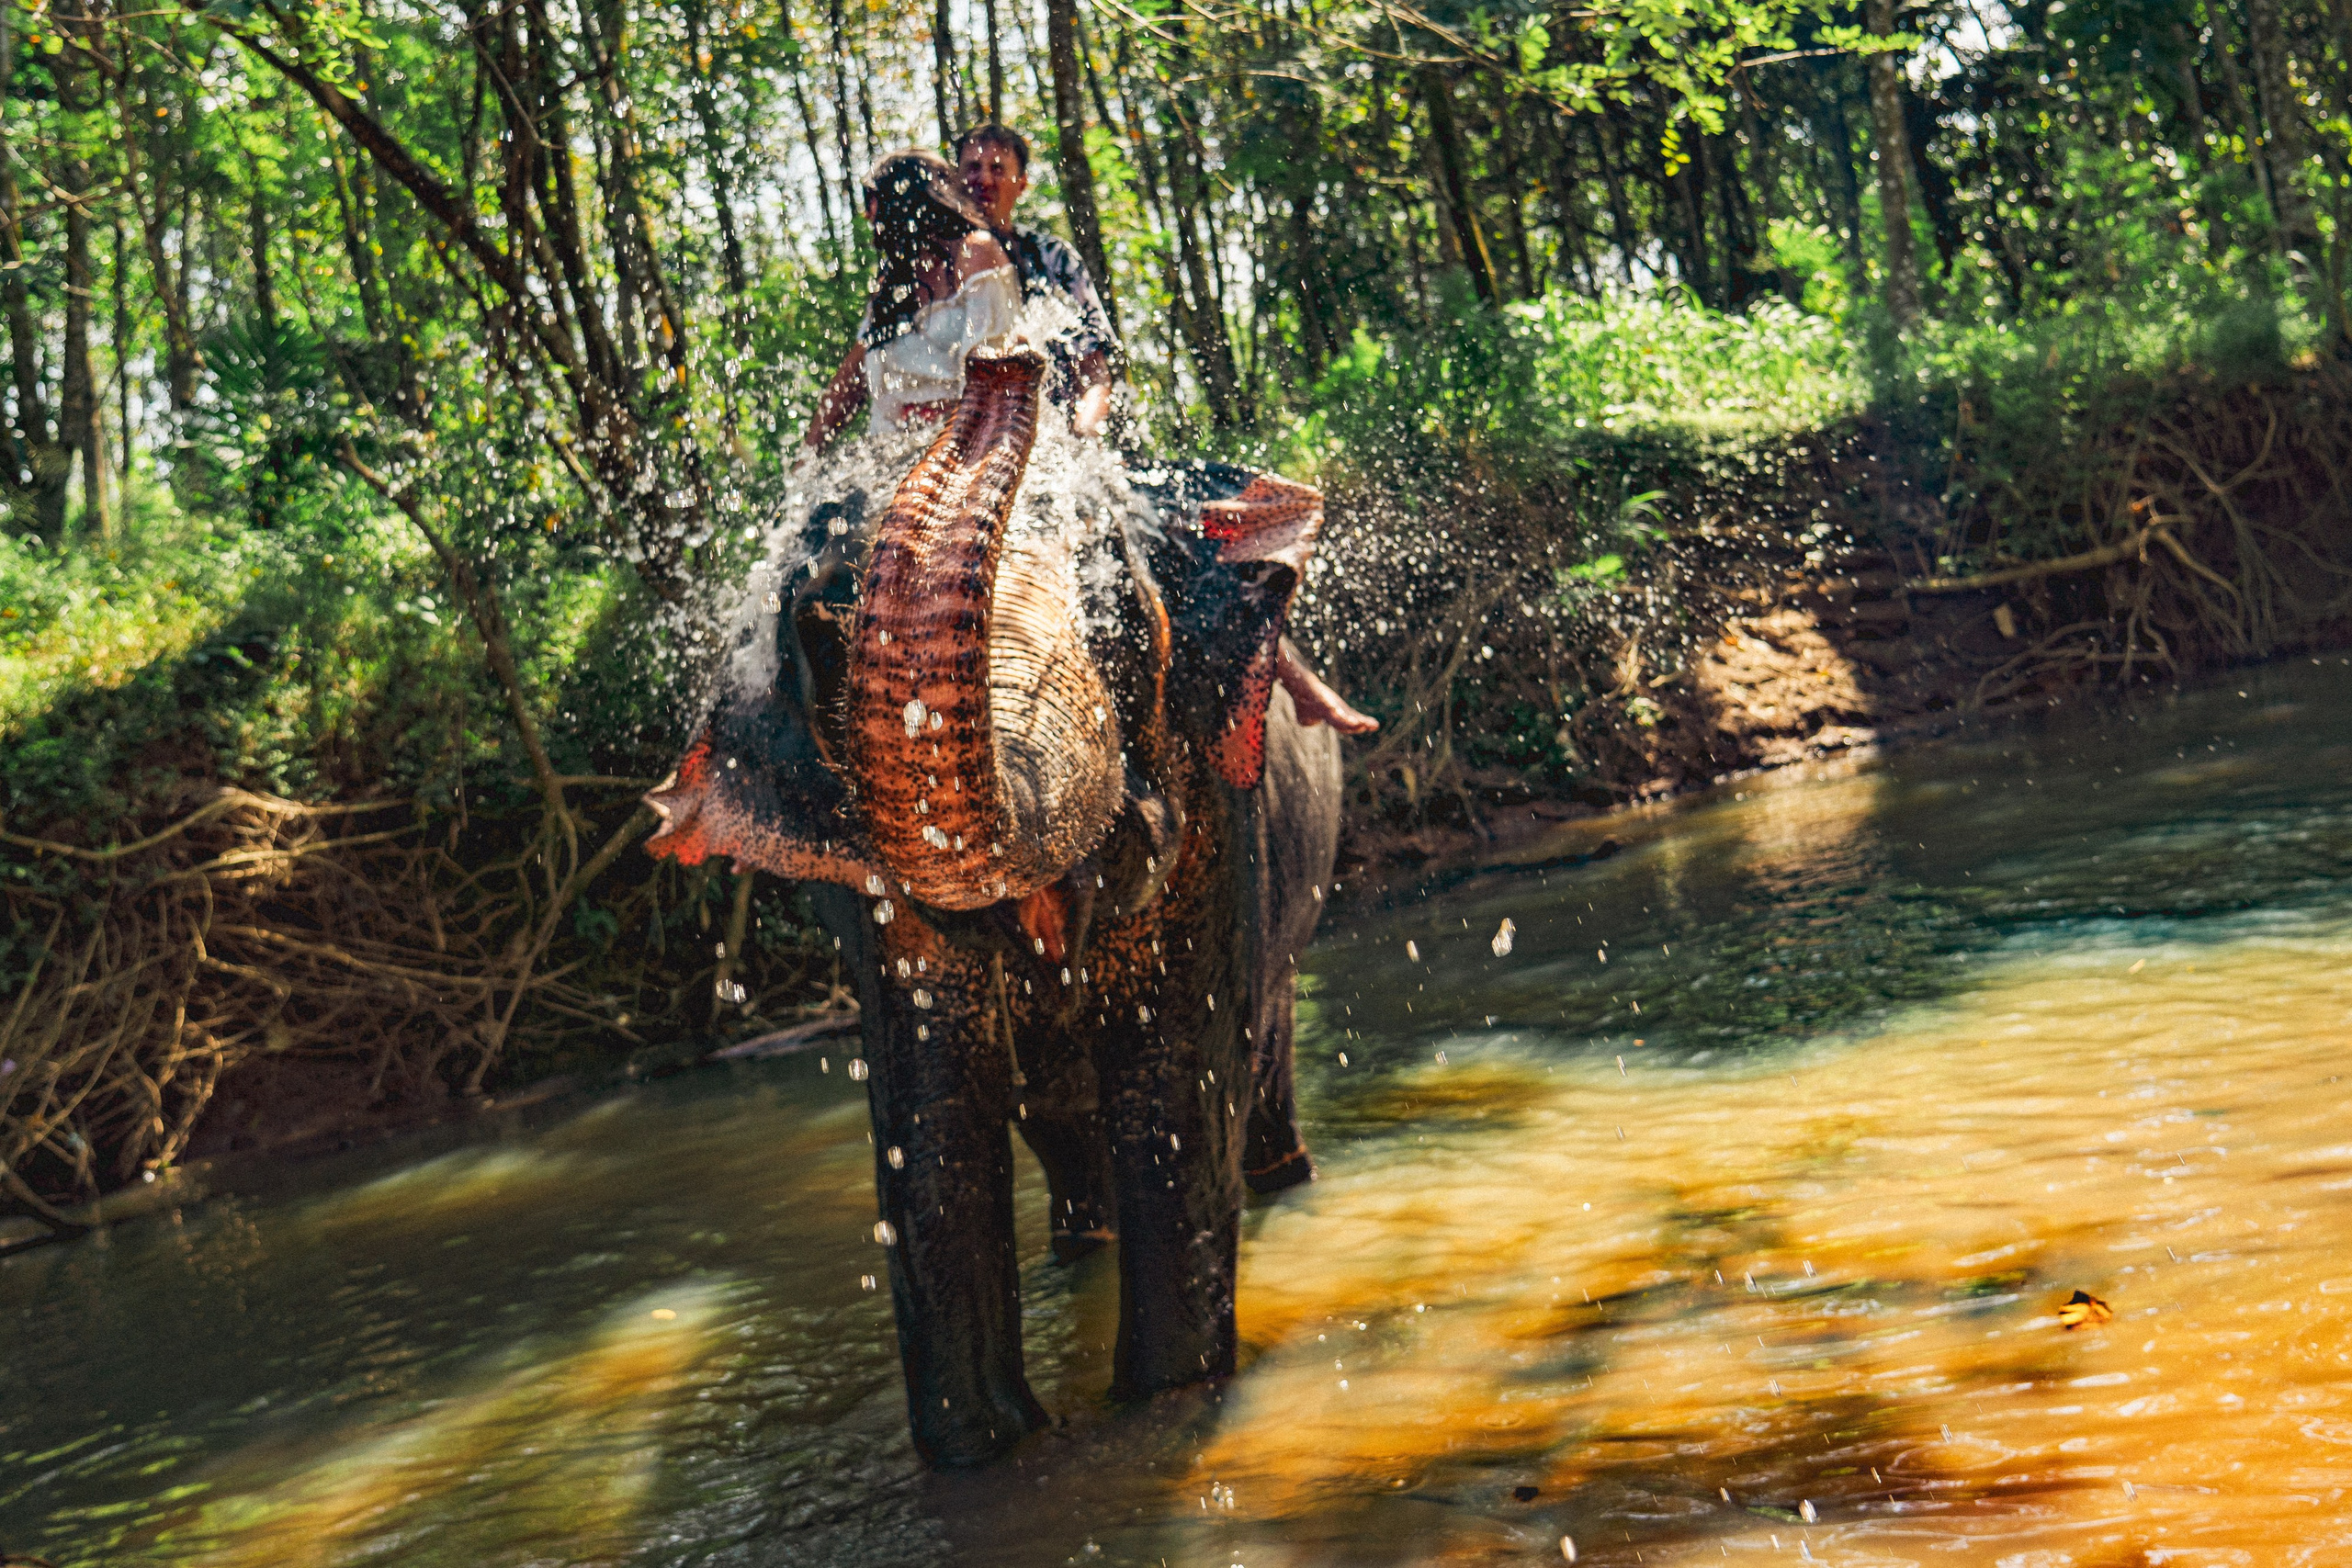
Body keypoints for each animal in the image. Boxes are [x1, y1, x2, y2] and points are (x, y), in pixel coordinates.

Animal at [641, 347, 1343, 1467]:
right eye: (822, 623)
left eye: (1114, 600)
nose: (1001, 357)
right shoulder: (871, 897)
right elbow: (929, 1102)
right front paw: (982, 1448)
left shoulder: (1211, 805)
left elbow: (1178, 1072)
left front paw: (1164, 1400)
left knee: (1264, 1047)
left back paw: (1284, 1176)